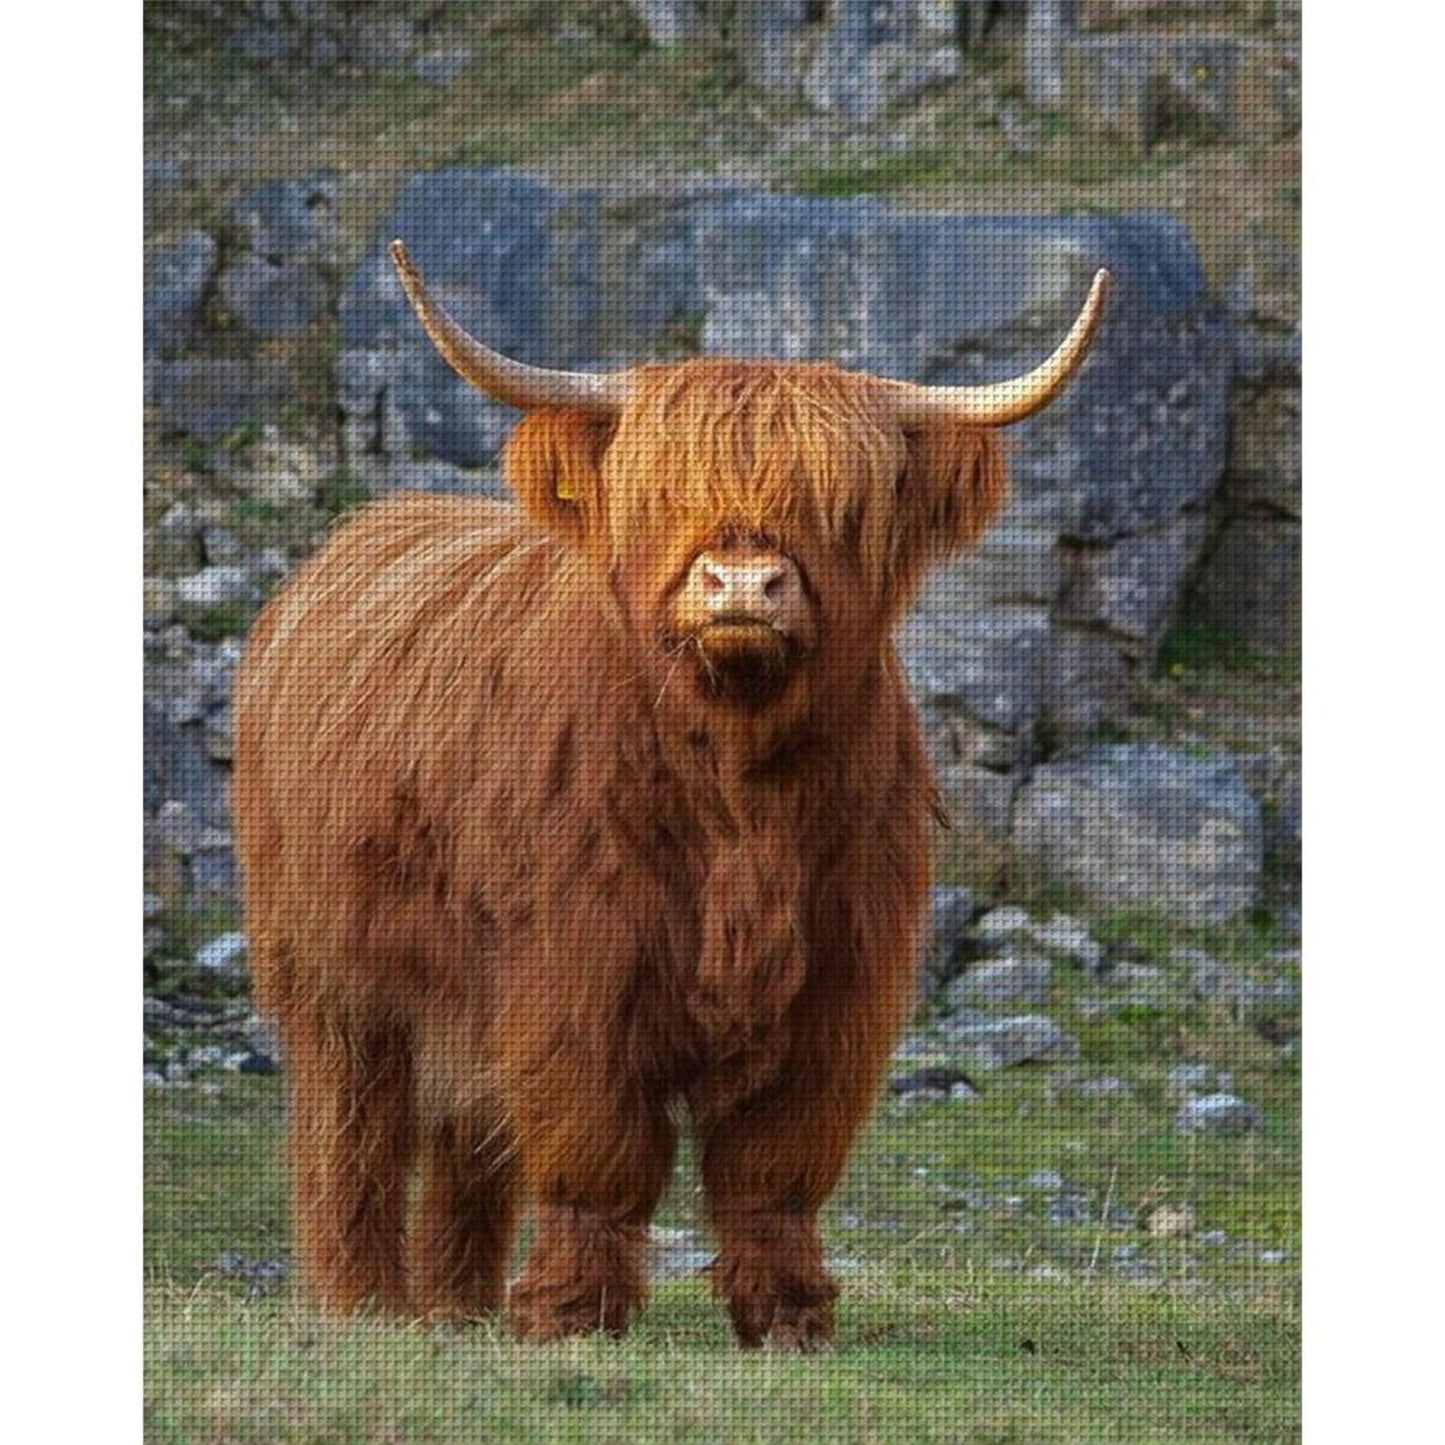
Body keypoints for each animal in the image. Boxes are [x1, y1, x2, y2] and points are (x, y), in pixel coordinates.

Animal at [233, 238, 1107, 1349]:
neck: (737, 789)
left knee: (467, 1136)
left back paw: (460, 1305)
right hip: (332, 972)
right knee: (351, 1128)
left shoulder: (838, 985)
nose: (741, 584)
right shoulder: (575, 972)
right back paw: (365, 1303)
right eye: (661, 491)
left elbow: (776, 1165)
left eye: (842, 504)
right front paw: (572, 1315)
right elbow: (596, 1147)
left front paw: (787, 1317)